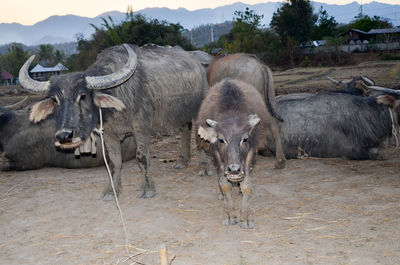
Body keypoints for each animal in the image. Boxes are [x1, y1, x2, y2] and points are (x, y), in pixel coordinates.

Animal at [18, 43, 208, 199]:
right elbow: (114, 161)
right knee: (186, 128)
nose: (64, 135)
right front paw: (112, 190)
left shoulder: (142, 127)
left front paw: (147, 189)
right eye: (55, 99)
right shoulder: (109, 133)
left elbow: (142, 157)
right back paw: (182, 161)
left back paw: (204, 168)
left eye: (83, 96)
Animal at [195, 77, 270, 228]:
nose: (234, 169)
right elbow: (224, 185)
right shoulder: (217, 156)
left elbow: (247, 186)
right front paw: (231, 216)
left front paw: (245, 218)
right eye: (221, 139)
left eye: (245, 139)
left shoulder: (250, 155)